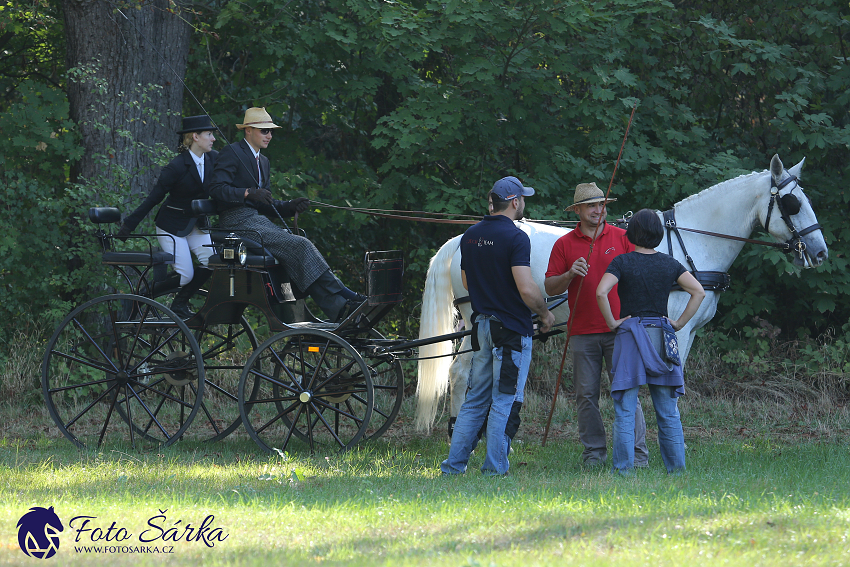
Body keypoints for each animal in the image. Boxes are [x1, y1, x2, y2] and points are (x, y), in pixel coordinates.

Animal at [418, 155, 828, 430]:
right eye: (793, 203)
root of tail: (460, 239)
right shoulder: (674, 328)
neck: (692, 243)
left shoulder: (686, 332)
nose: (820, 252)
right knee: (464, 373)